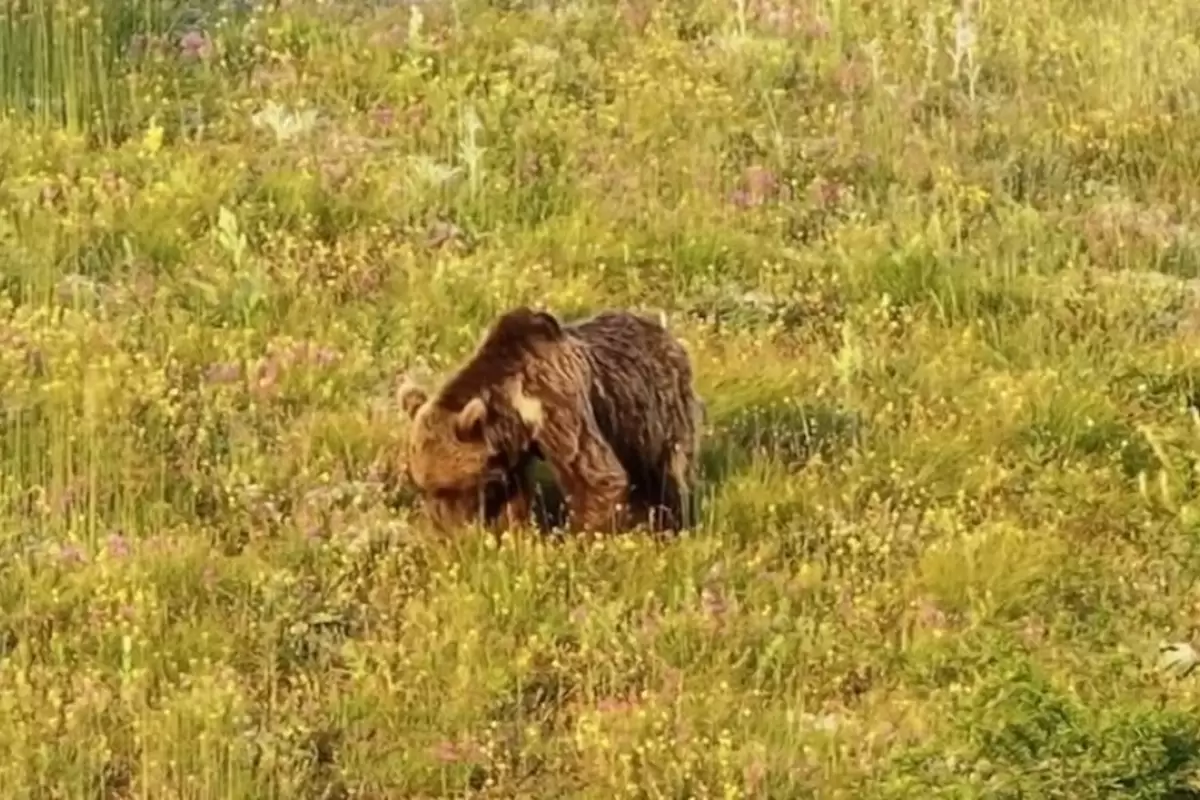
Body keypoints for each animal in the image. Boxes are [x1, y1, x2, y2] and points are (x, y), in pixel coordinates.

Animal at [400, 307, 700, 537]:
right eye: (422, 486)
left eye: (450, 487)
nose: (445, 531)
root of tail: (668, 335)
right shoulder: (509, 450)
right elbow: (513, 493)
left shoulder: (558, 404)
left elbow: (595, 476)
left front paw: (579, 539)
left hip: (659, 412)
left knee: (669, 473)